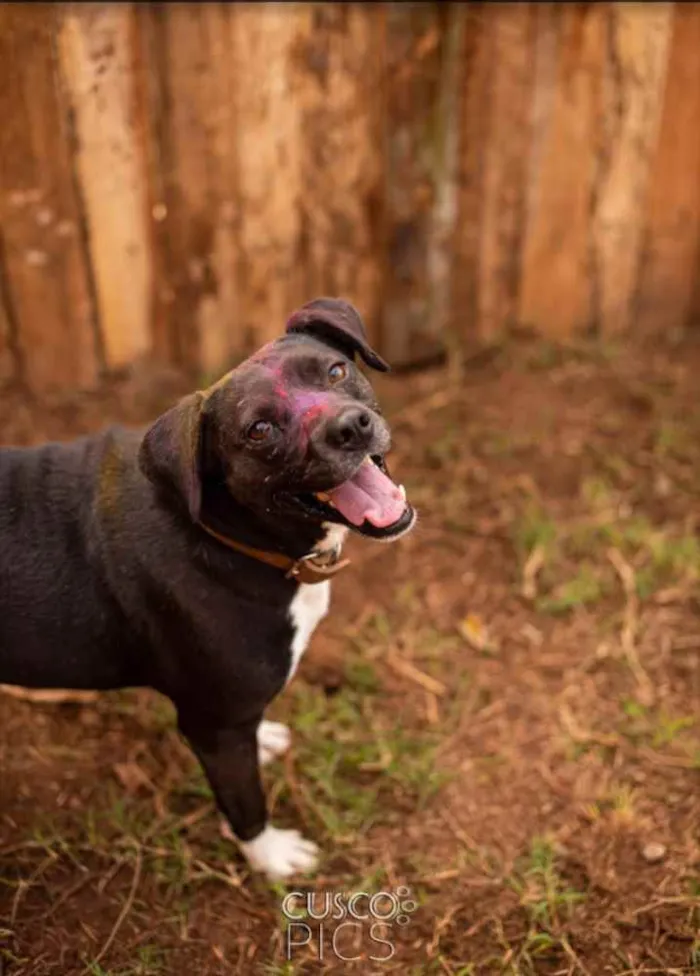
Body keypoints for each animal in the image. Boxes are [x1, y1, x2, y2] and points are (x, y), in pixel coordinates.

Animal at [0, 296, 416, 876]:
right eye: (259, 430)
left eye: (336, 371)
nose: (350, 428)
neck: (229, 534)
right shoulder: (212, 726)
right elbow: (245, 801)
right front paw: (271, 856)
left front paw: (264, 738)